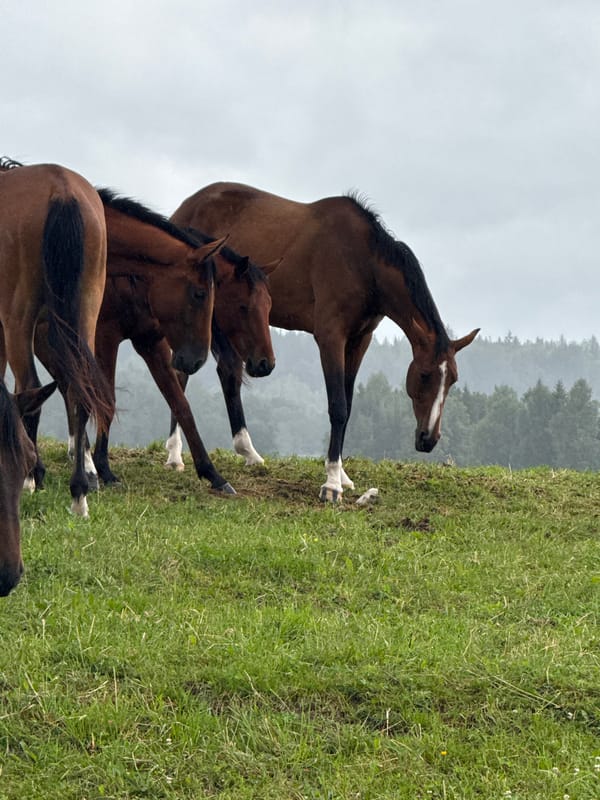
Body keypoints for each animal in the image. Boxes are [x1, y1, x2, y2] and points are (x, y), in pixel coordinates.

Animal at [0, 157, 114, 517]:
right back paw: (79, 493)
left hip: (18, 318)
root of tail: (61, 190)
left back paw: (30, 478)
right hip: (86, 310)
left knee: (31, 385)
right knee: (79, 390)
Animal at [35, 189, 275, 493]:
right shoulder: (106, 337)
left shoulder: (151, 343)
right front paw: (104, 467)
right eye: (244, 307)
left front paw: (212, 473)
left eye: (268, 306)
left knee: (67, 388)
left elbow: (181, 404)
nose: (266, 363)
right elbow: (106, 398)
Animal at [171, 182, 479, 501]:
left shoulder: (359, 340)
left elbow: (349, 405)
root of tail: (186, 207)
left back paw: (247, 454)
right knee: (187, 372)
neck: (363, 263)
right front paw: (331, 483)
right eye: (425, 375)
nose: (428, 439)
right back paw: (175, 455)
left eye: (452, 380)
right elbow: (338, 407)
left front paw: (342, 476)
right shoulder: (331, 337)